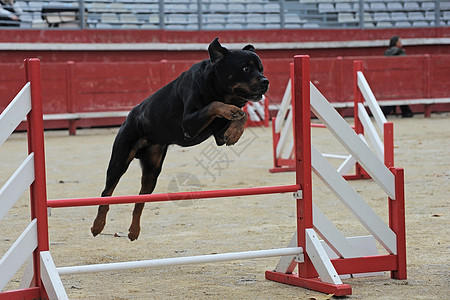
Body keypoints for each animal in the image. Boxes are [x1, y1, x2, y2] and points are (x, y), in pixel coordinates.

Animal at [89, 37, 268, 240]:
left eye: (261, 68)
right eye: (245, 68)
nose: (266, 81)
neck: (217, 88)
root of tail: (129, 117)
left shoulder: (218, 136)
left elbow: (241, 116)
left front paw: (235, 130)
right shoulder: (188, 124)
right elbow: (214, 104)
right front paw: (231, 110)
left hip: (152, 170)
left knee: (140, 200)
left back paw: (134, 230)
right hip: (120, 159)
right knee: (106, 192)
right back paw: (98, 225)